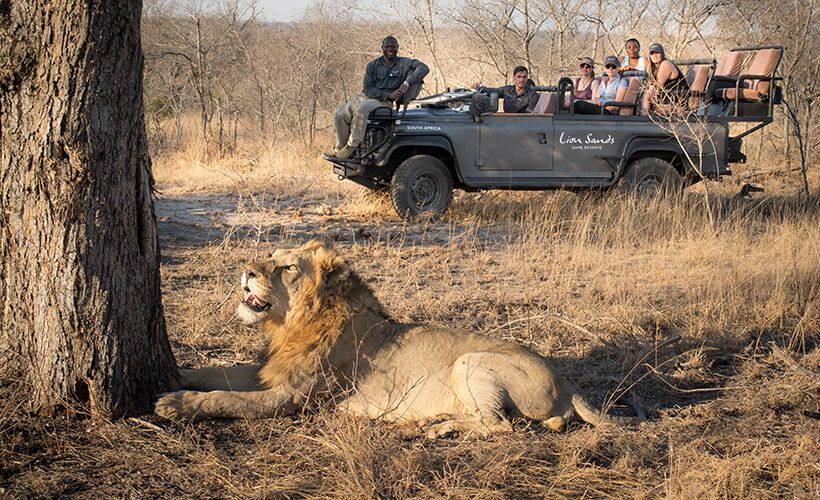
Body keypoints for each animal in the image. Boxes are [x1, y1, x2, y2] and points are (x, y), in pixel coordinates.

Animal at [155, 240, 641, 437]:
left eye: (287, 267)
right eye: (269, 255)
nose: (245, 272)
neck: (292, 325)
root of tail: (569, 383)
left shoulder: (290, 398)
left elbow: (226, 398)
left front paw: (174, 404)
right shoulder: (267, 370)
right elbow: (219, 374)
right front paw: (179, 376)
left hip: (471, 361)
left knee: (500, 426)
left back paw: (439, 429)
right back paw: (436, 421)